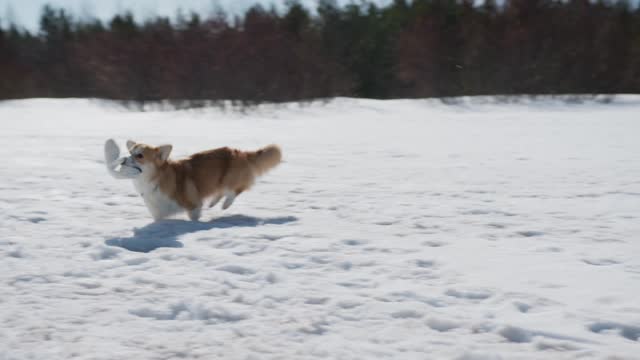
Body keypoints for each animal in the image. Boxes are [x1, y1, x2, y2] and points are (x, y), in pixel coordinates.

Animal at [113, 140, 282, 221]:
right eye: (130, 152)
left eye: (139, 155)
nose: (122, 160)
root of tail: (241, 152)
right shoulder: (158, 213)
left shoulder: (193, 206)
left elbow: (194, 217)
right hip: (219, 181)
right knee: (221, 191)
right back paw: (213, 203)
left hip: (230, 179)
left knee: (236, 189)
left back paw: (226, 204)